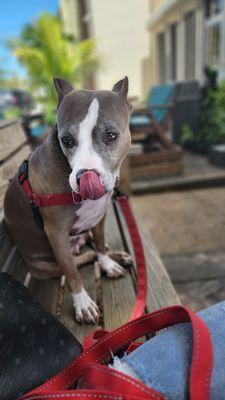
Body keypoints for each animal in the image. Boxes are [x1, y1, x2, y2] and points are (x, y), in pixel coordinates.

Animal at [3, 76, 132, 324]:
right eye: (67, 140)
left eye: (111, 135)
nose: (85, 177)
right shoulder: (56, 233)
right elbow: (72, 272)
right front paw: (83, 303)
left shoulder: (99, 217)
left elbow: (99, 243)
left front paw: (108, 263)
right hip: (45, 265)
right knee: (79, 259)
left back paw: (117, 255)